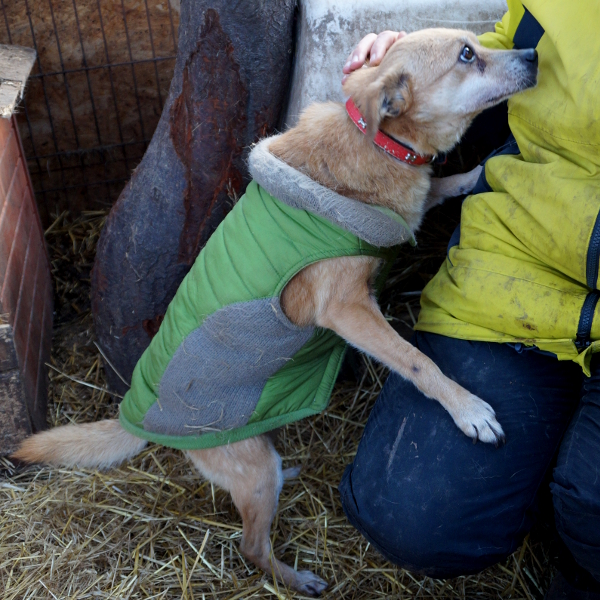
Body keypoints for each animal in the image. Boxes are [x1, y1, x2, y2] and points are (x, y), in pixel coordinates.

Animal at [12, 30, 540, 596]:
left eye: (479, 43)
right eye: (466, 55)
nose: (535, 53)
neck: (375, 143)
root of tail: (136, 416)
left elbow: (440, 188)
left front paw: (481, 171)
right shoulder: (349, 311)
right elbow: (417, 361)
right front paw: (469, 410)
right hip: (254, 471)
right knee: (251, 548)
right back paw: (296, 579)